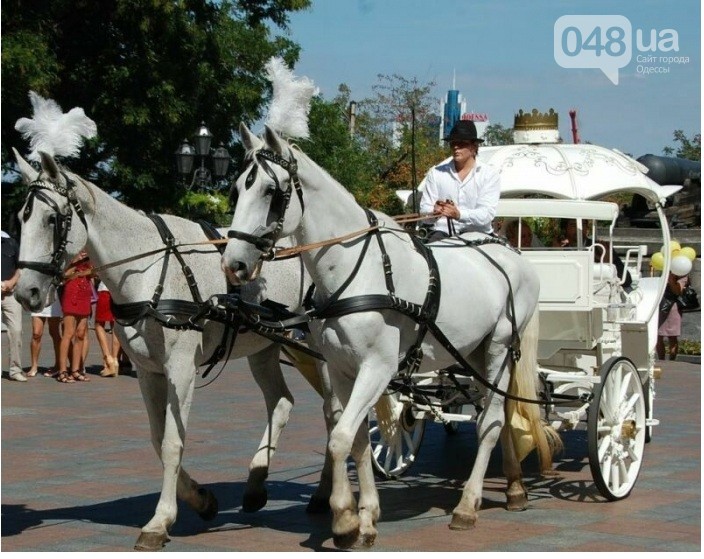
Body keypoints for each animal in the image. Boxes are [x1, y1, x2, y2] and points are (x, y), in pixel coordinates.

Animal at [12, 150, 334, 552]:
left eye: (52, 218)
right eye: (20, 219)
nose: (25, 292)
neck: (146, 270)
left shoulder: (180, 368)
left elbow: (171, 441)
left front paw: (160, 521)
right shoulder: (149, 371)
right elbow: (157, 437)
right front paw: (202, 499)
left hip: (323, 346)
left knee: (335, 411)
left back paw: (324, 494)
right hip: (265, 345)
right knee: (281, 402)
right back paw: (257, 485)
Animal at [221, 124, 560, 548]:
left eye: (271, 191)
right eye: (237, 188)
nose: (233, 263)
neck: (356, 268)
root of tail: (516, 258)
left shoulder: (377, 367)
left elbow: (340, 438)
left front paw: (345, 521)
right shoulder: (342, 367)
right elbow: (356, 439)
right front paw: (364, 517)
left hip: (500, 348)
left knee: (491, 422)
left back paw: (467, 506)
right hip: (474, 353)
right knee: (502, 413)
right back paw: (514, 487)